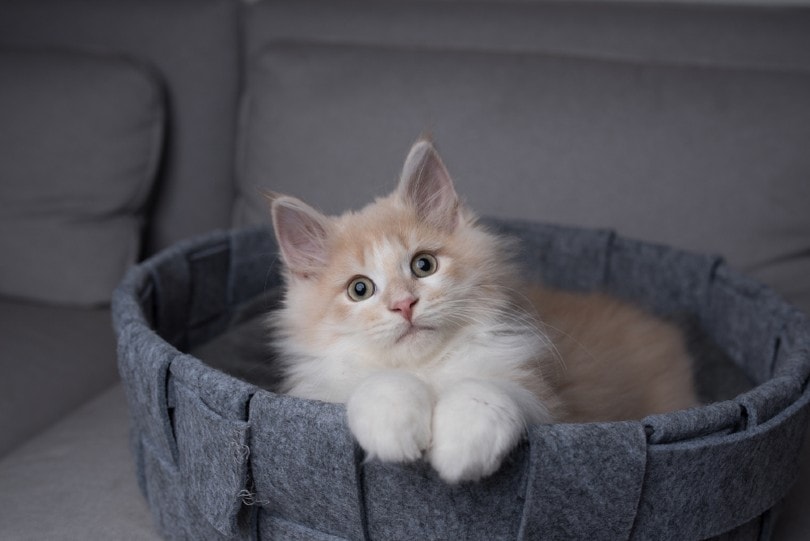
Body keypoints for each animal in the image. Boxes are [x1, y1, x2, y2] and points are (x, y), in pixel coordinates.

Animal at [266, 139, 696, 480]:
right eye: (360, 289)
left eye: (423, 265)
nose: (404, 304)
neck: (427, 370)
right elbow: (379, 383)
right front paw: (395, 431)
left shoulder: (543, 397)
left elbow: (484, 390)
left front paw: (461, 450)